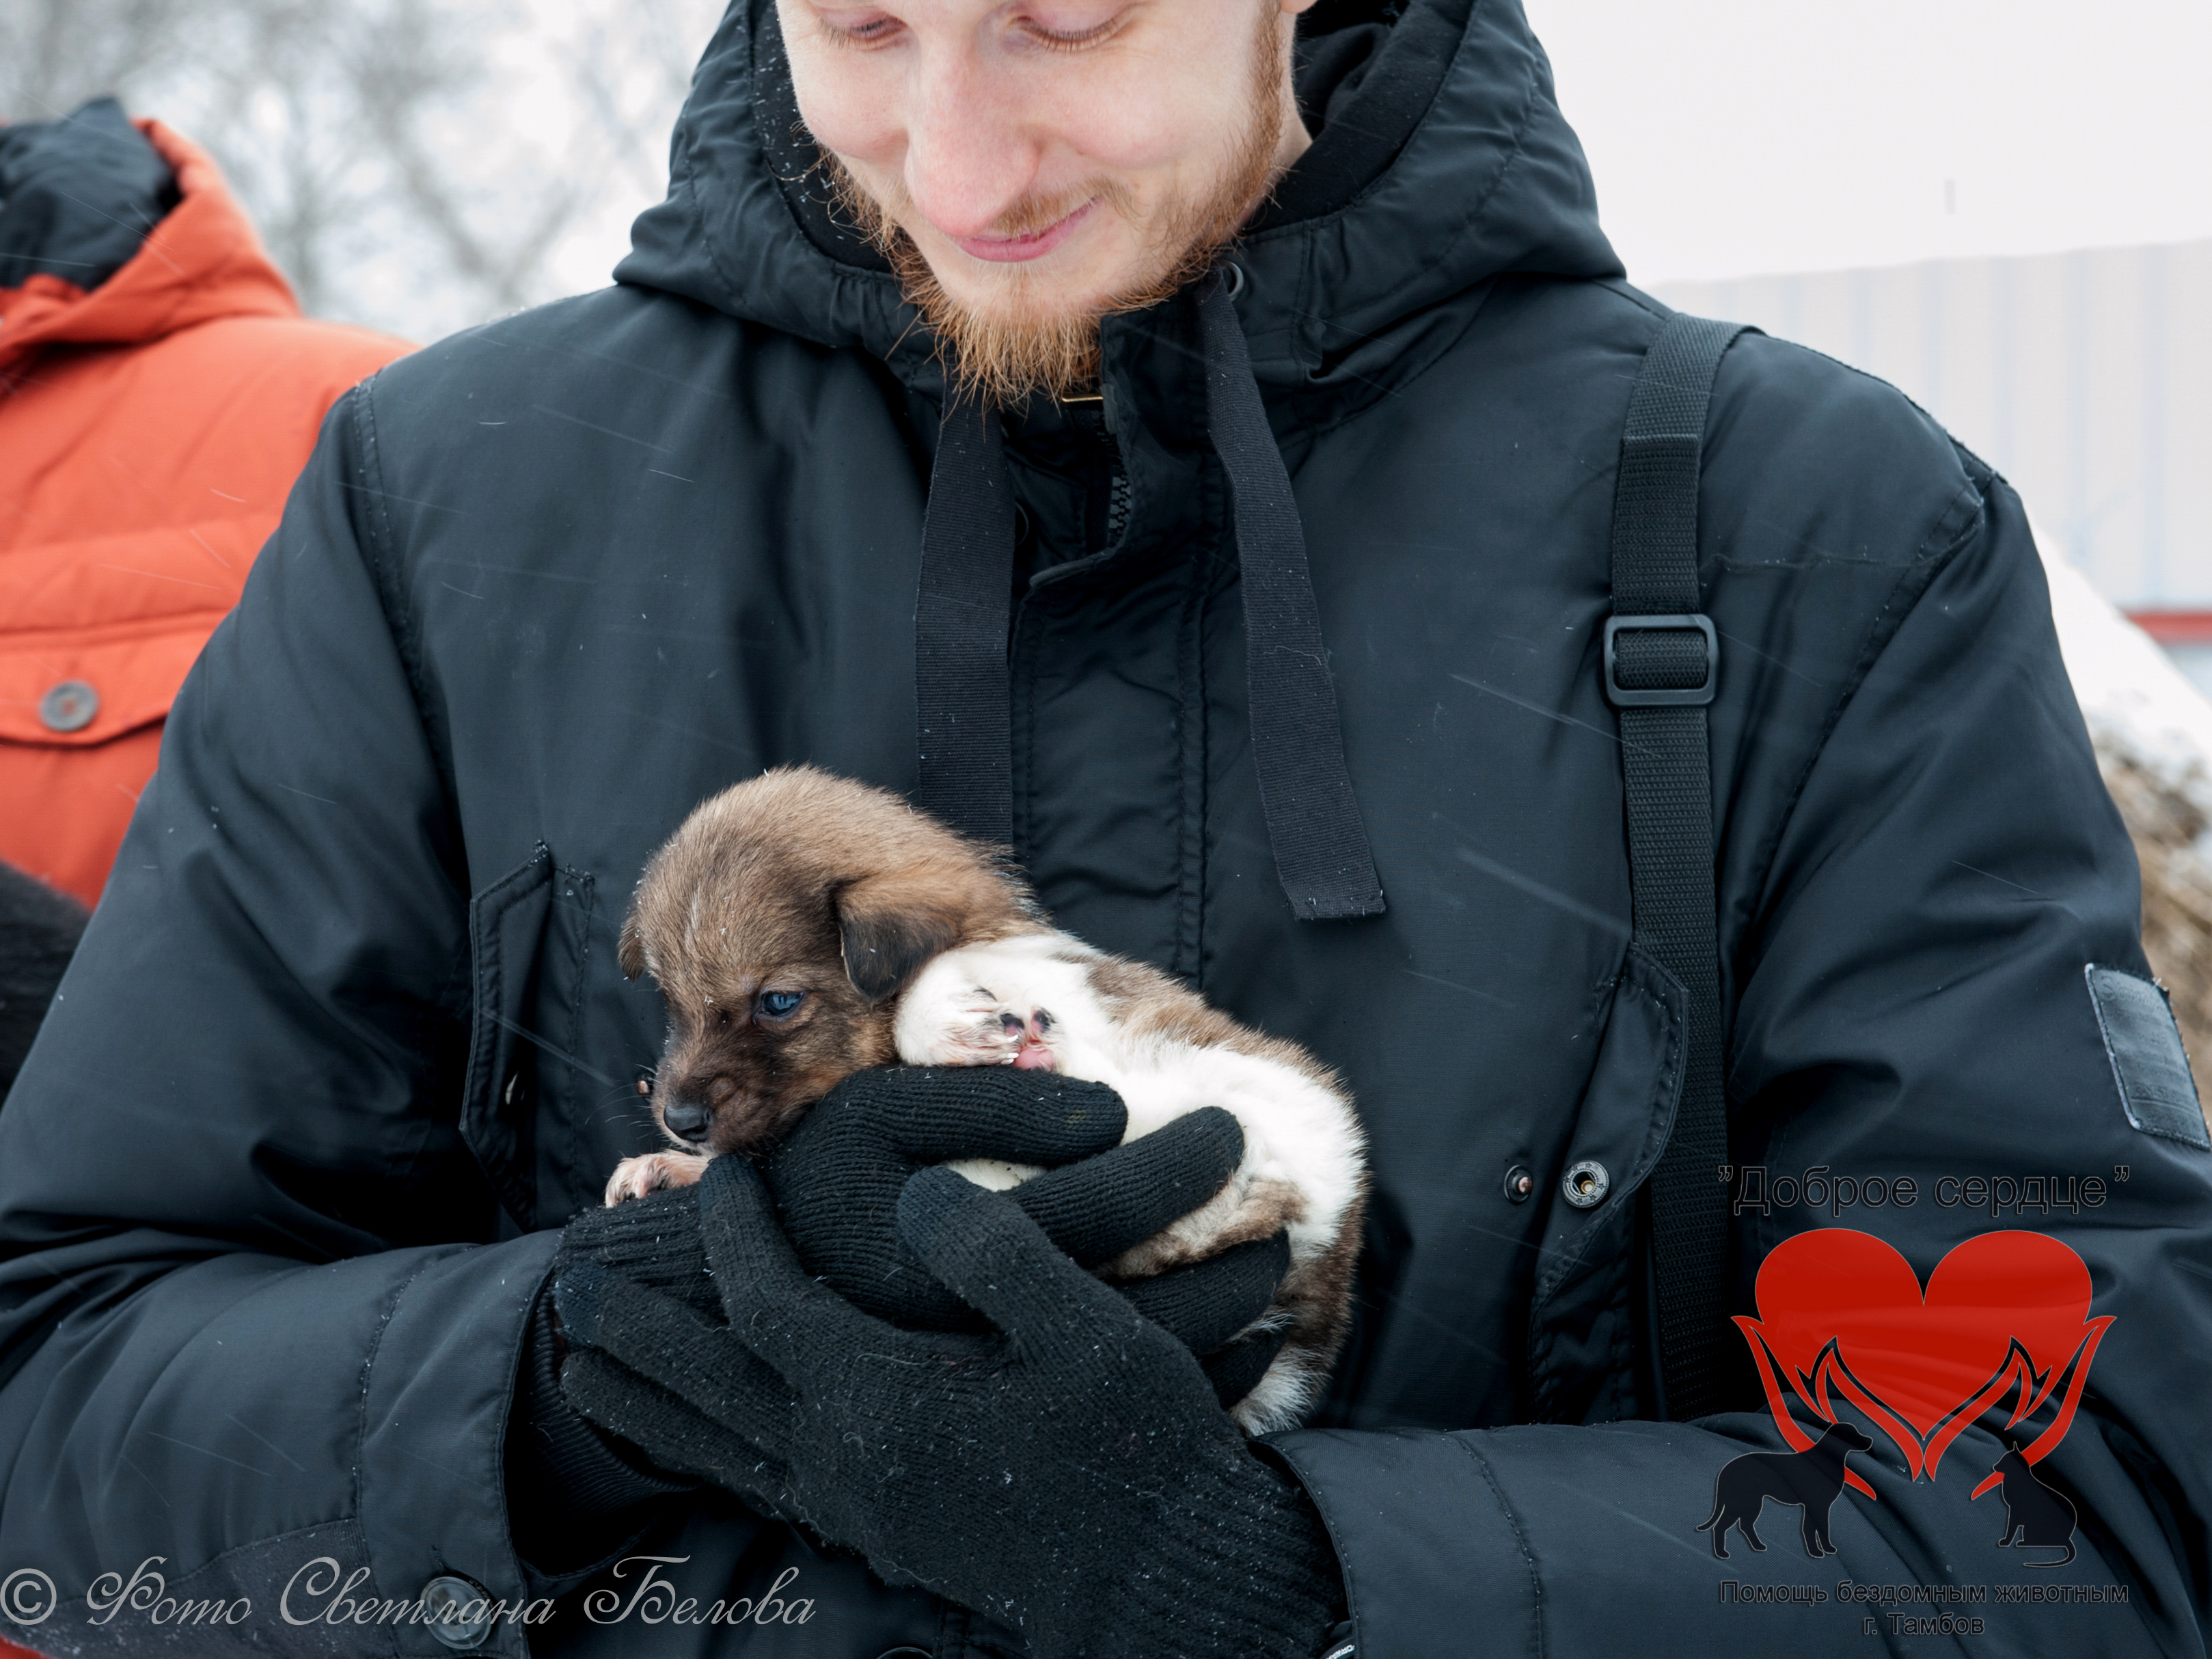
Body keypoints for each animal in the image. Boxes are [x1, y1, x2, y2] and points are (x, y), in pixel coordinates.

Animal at [610, 774, 1362, 1433]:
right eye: (673, 1005)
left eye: (777, 1002)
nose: (679, 1122)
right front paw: (669, 1170)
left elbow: (935, 981)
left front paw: (955, 1020)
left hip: (1267, 1105)